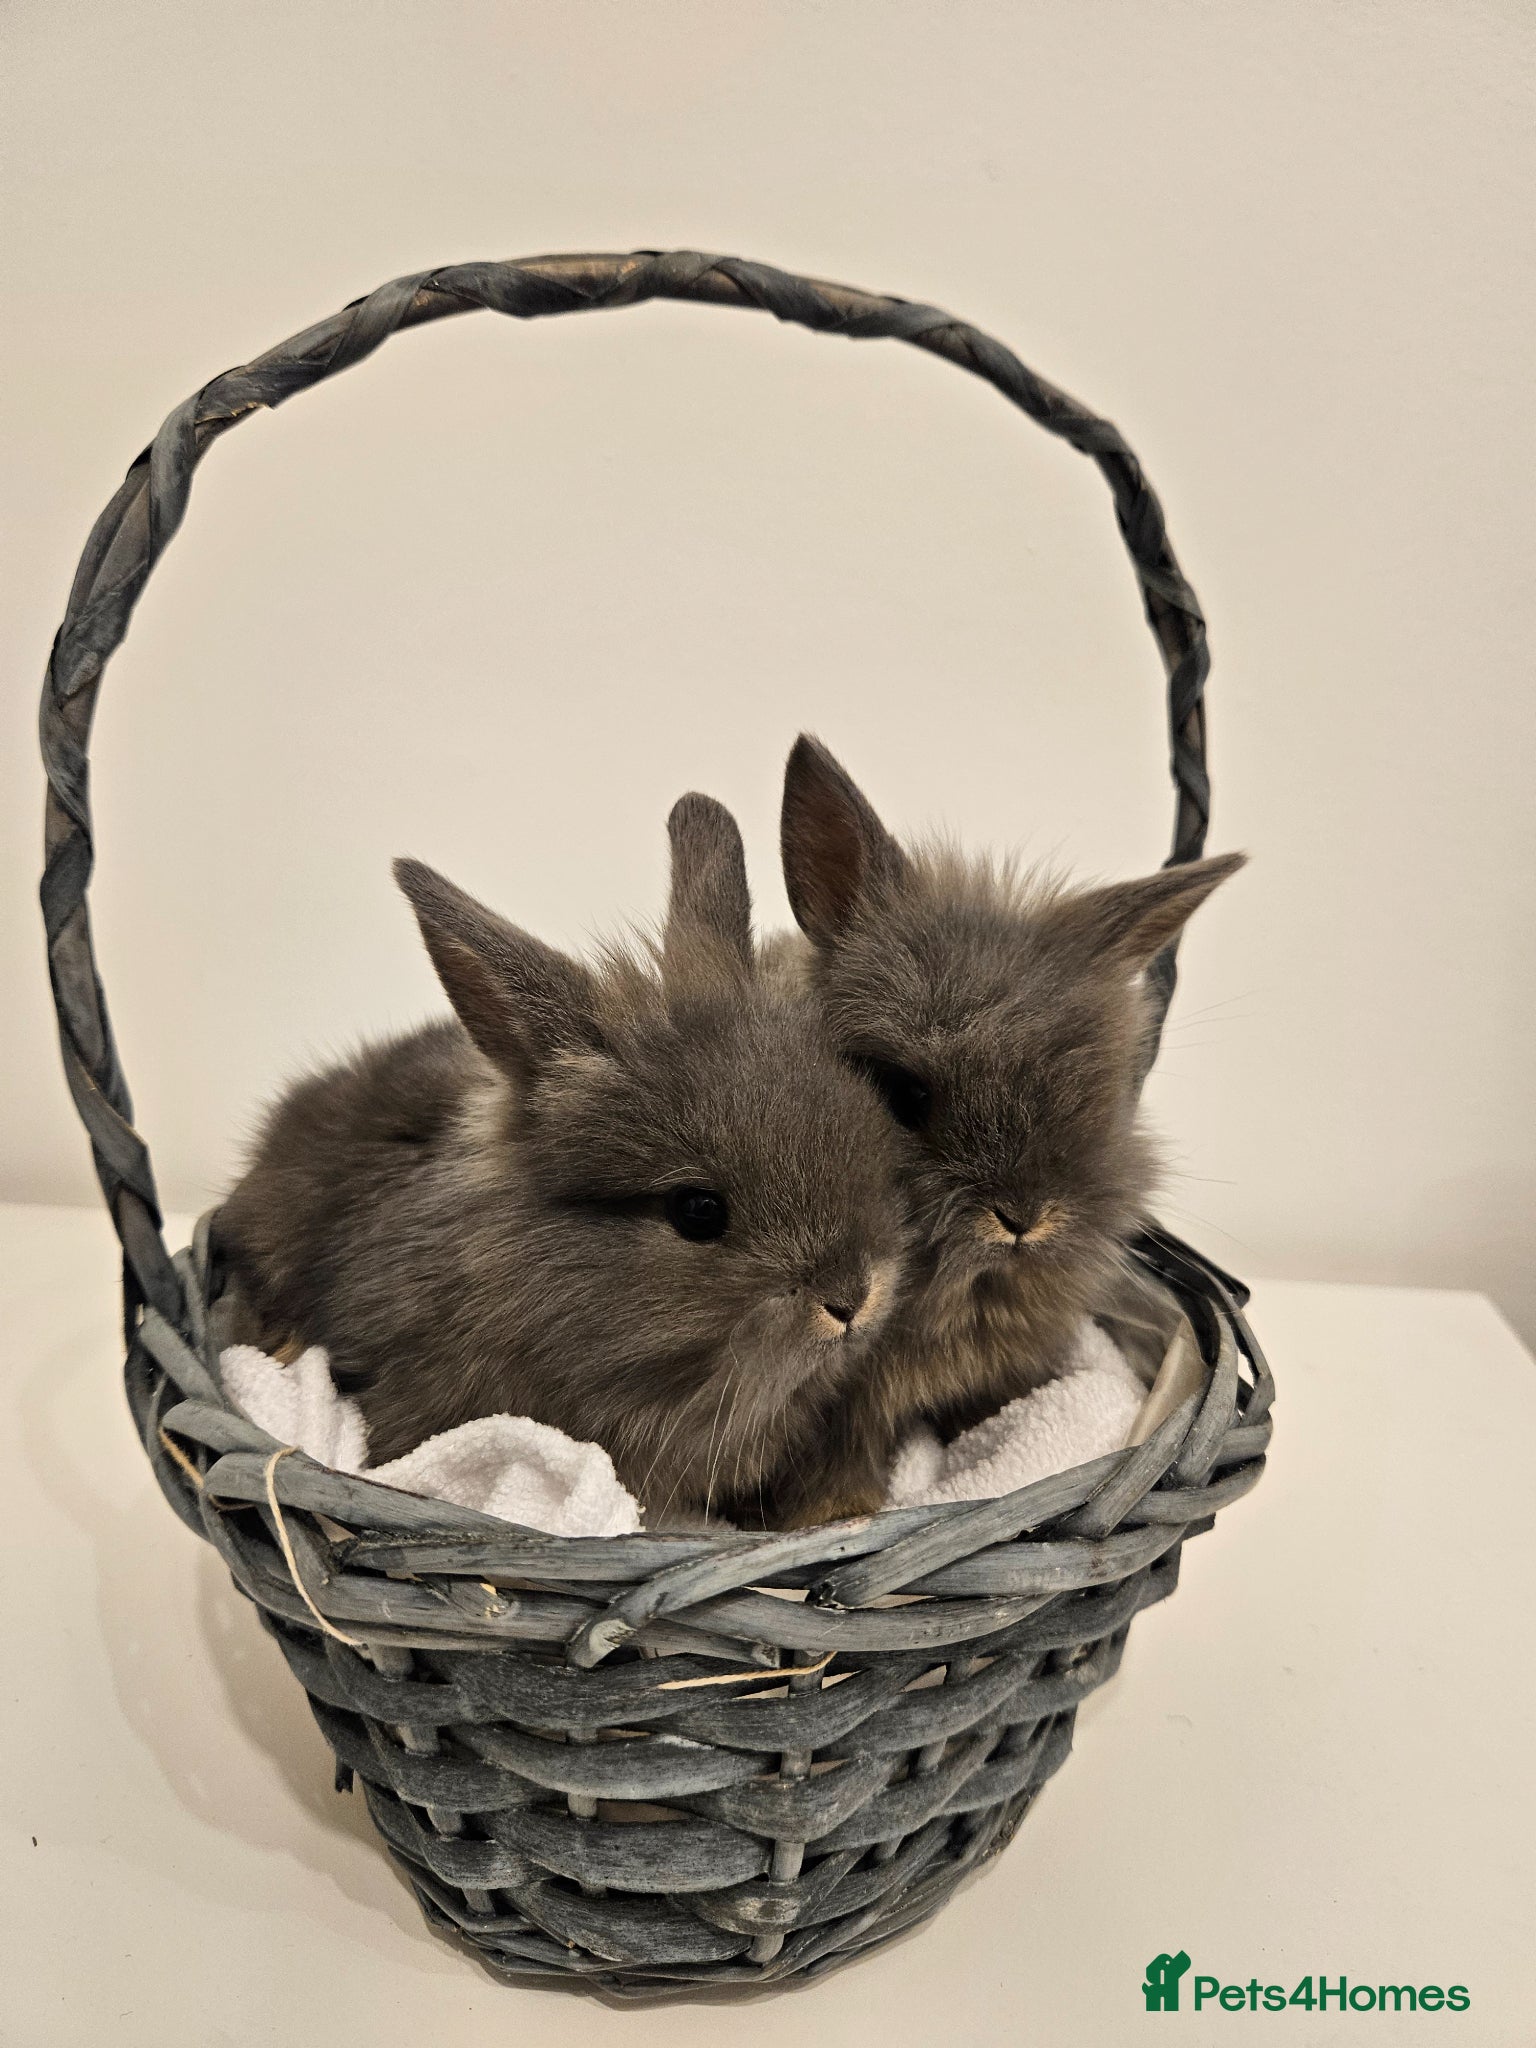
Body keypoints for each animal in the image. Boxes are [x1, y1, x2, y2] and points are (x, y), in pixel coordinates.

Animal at [761, 733, 1246, 1525]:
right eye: (902, 1092)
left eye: (1094, 1090)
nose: (1023, 1217)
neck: (966, 1290)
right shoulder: (832, 1415)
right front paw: (836, 1517)